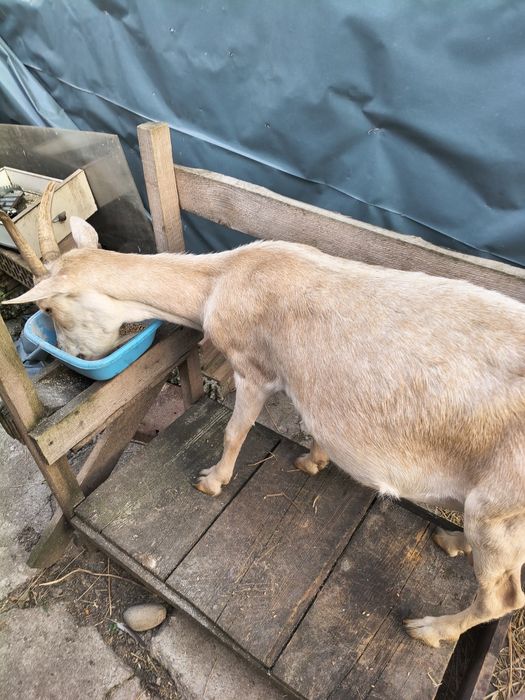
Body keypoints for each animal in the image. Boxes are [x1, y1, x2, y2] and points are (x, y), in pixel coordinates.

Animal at [2, 183, 524, 648]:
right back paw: (451, 541)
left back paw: (431, 629)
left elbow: (236, 430)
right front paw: (312, 461)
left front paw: (211, 481)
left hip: (497, 506)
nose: (76, 362)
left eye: (49, 305)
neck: (220, 279)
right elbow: (310, 422)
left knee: (504, 598)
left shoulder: (252, 368)